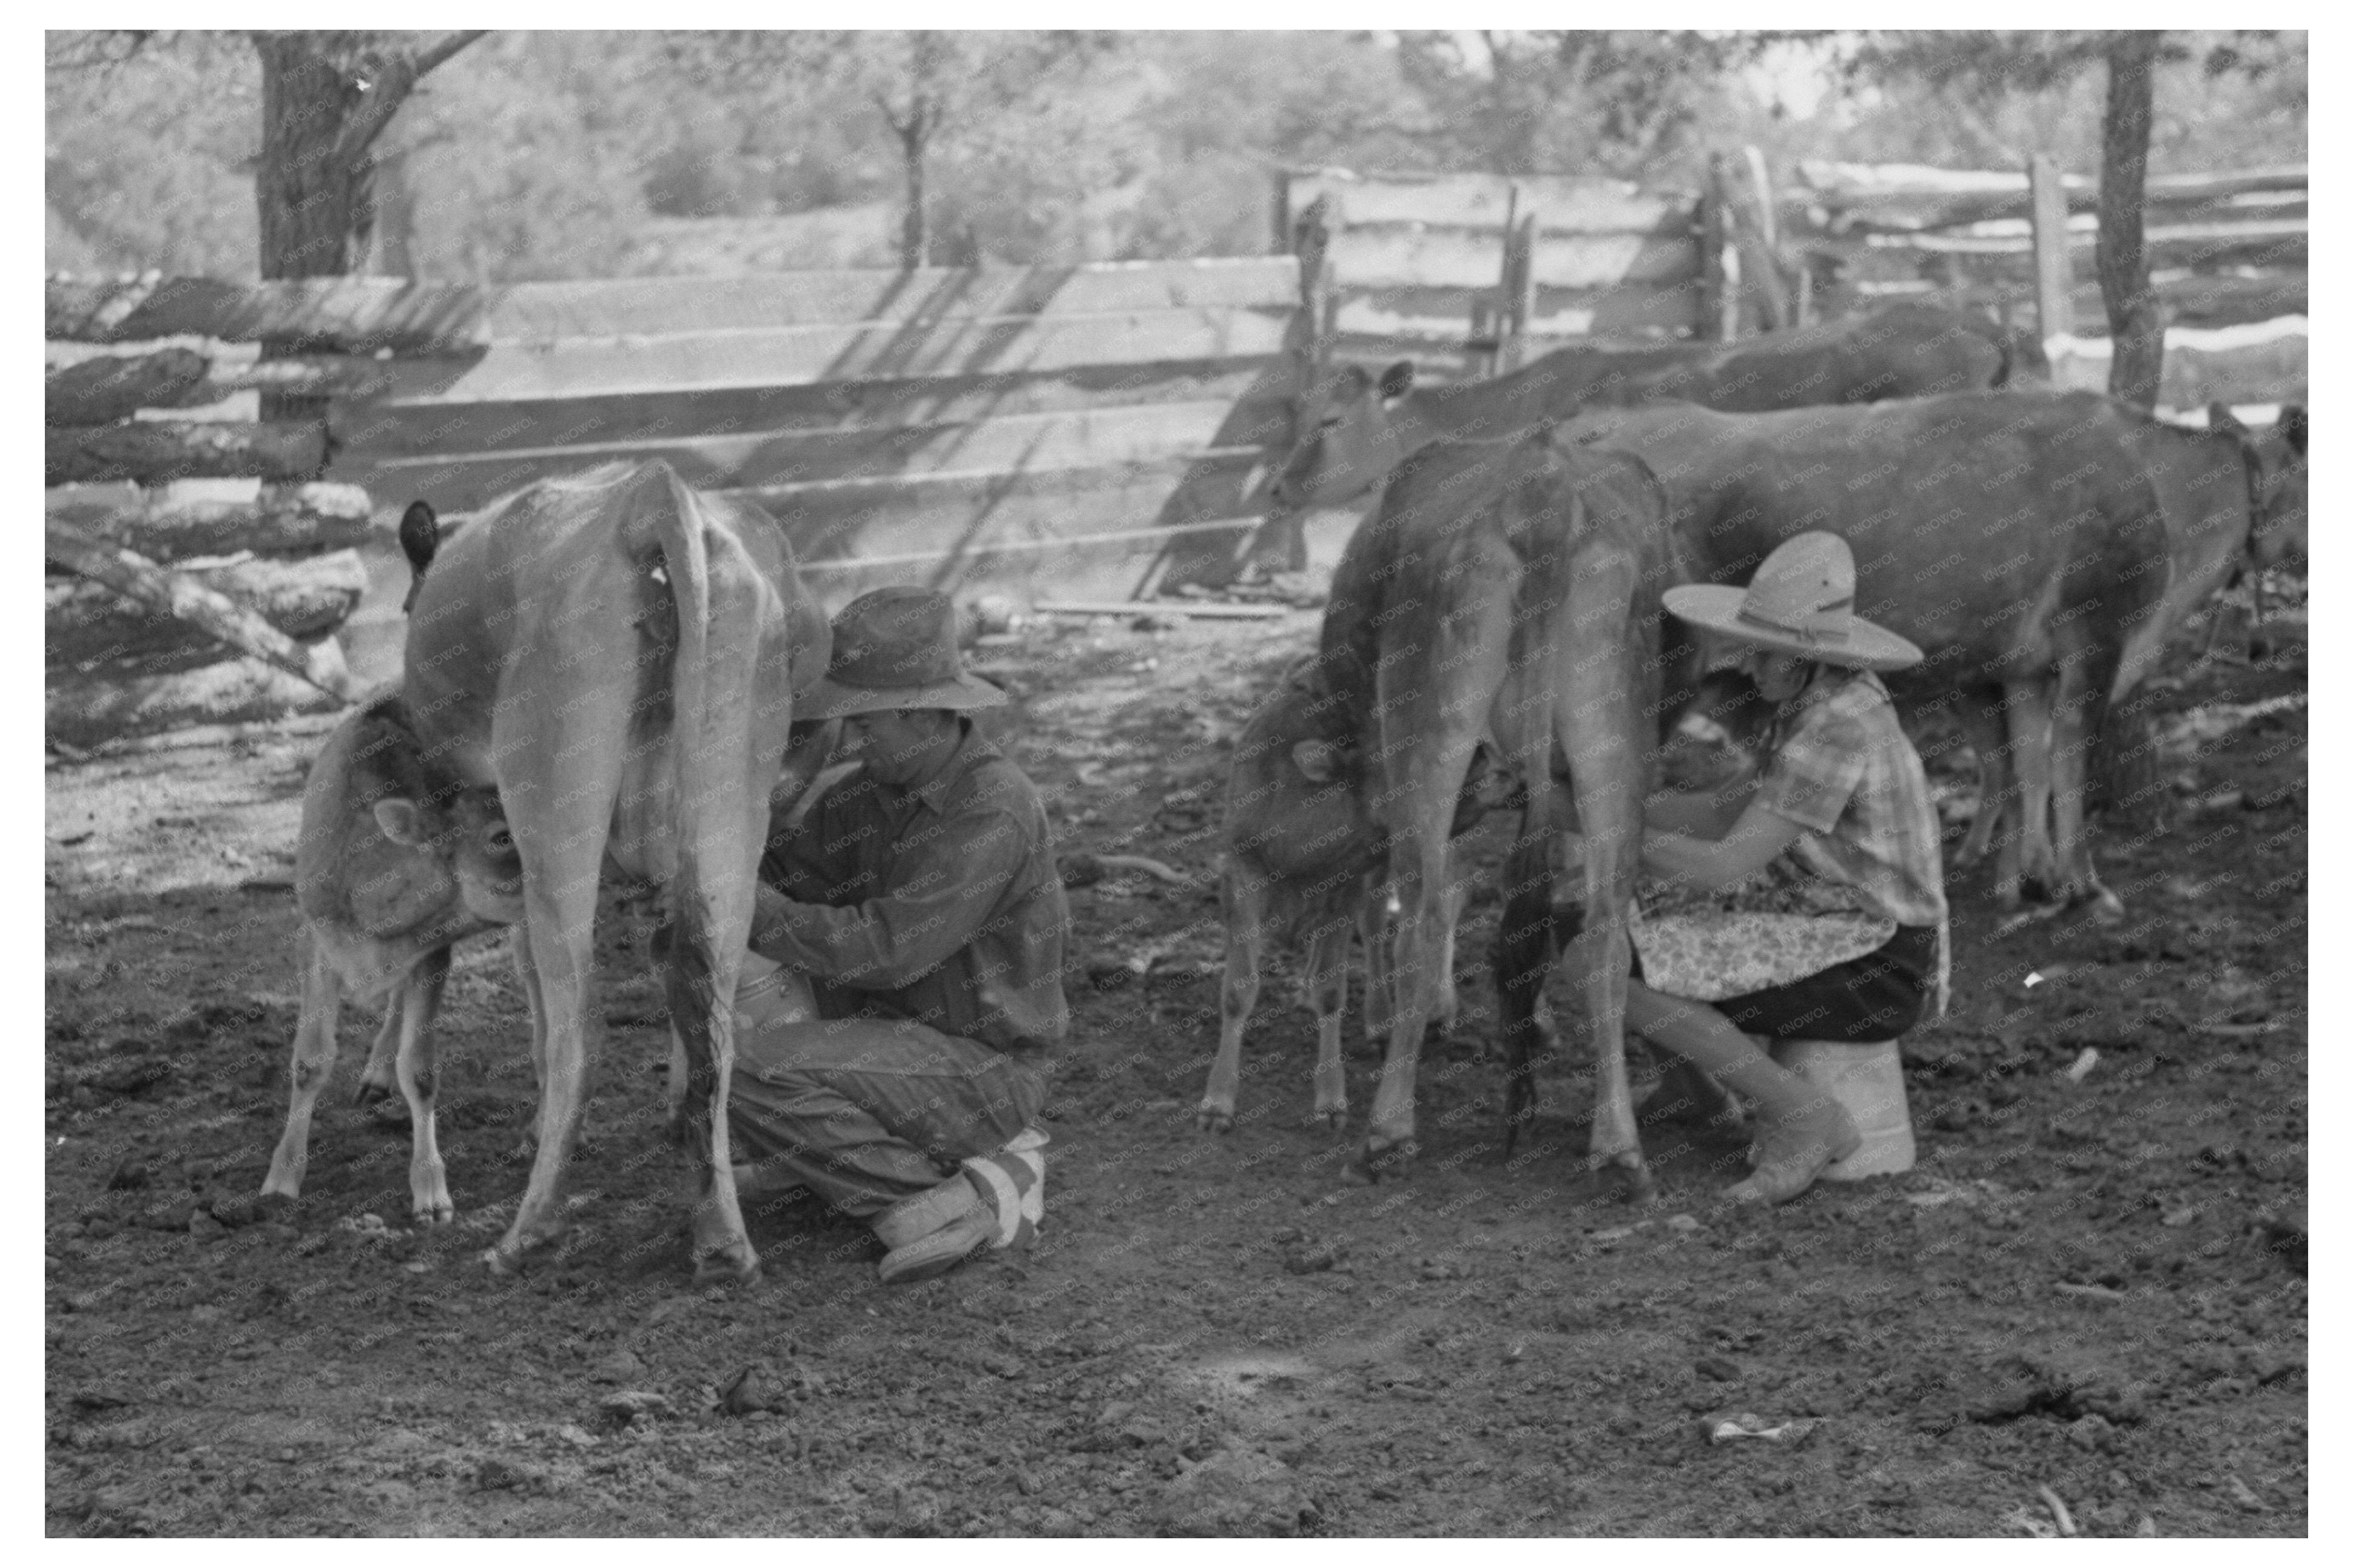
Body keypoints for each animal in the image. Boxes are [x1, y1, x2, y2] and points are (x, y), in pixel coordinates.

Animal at [264, 696, 527, 1224]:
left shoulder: (433, 948)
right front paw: (281, 1180)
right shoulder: (314, 937)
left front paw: (432, 1196)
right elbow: (309, 1060)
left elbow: (421, 1070)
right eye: (500, 835)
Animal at [405, 454, 837, 1280]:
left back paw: (527, 1230)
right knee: (708, 993)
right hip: (734, 787)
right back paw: (721, 1233)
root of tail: (651, 493)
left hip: (553, 810)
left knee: (579, 1016)